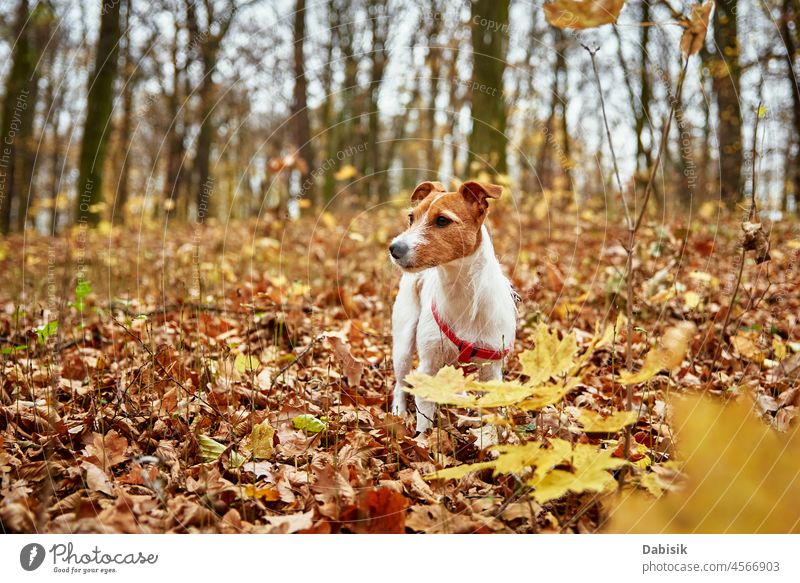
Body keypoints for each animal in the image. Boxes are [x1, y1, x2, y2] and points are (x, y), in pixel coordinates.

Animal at [390, 182, 516, 434]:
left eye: (442, 220)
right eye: (411, 218)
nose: (394, 248)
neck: (461, 292)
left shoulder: (491, 369)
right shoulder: (428, 367)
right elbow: (425, 418)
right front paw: (423, 440)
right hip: (403, 344)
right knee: (399, 383)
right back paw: (399, 410)